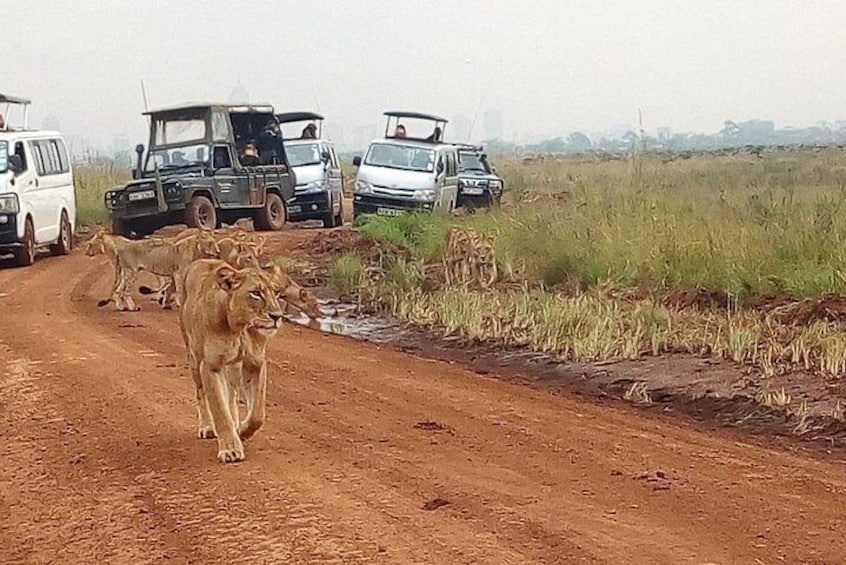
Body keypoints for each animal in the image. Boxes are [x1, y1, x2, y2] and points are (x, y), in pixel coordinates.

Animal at [179, 260, 322, 462]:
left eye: (276, 293)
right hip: (194, 357)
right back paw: (207, 426)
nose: (277, 316)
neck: (240, 327)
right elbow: (219, 409)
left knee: (231, 394)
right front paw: (230, 449)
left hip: (233, 367)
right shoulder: (210, 366)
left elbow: (257, 413)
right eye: (255, 293)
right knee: (201, 394)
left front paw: (242, 431)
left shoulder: (255, 362)